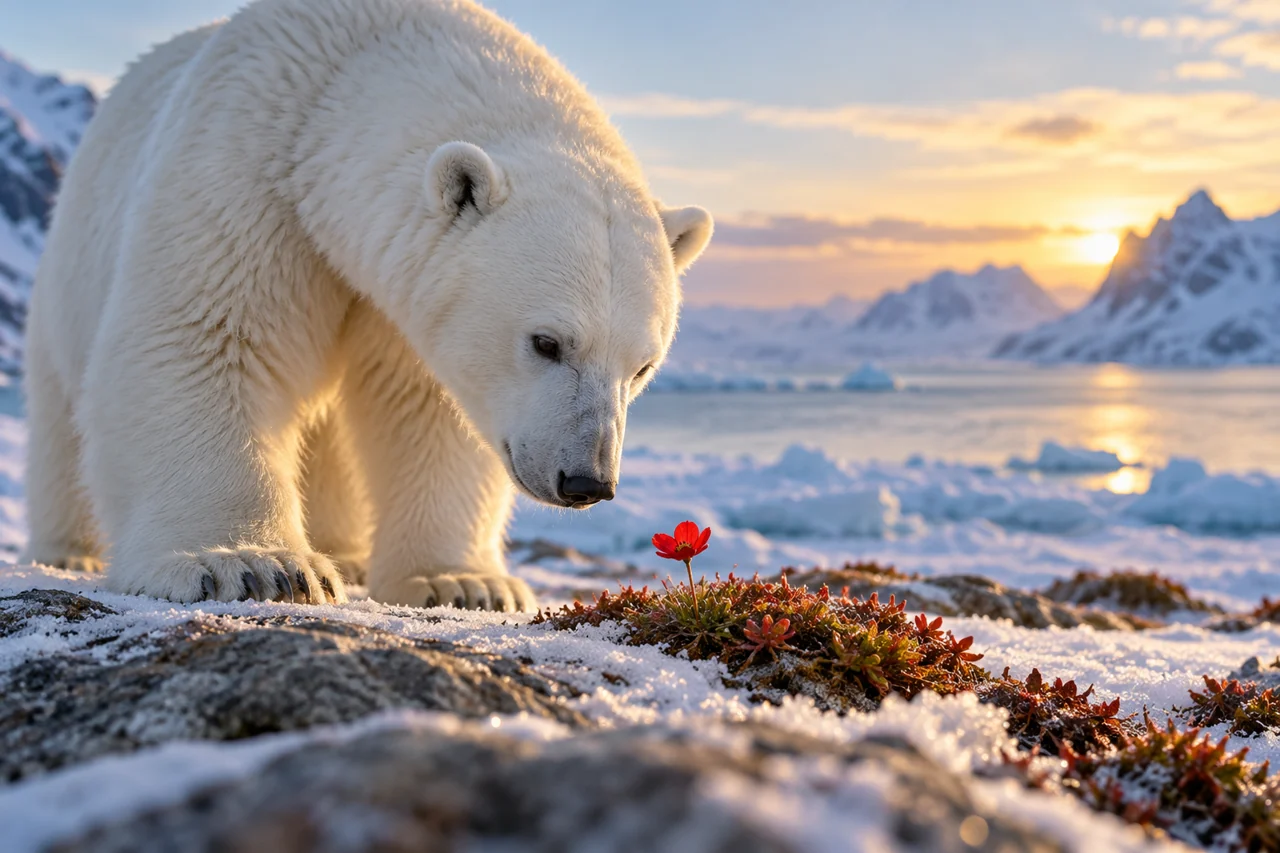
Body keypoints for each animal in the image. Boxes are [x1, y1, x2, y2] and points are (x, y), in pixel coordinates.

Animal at [22, 0, 713, 611]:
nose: (587, 481)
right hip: (69, 263)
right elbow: (204, 338)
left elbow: (426, 407)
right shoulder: (241, 171)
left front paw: (463, 583)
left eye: (643, 367)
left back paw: (348, 554)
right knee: (60, 414)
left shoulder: (395, 291)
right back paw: (69, 550)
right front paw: (249, 563)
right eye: (547, 342)